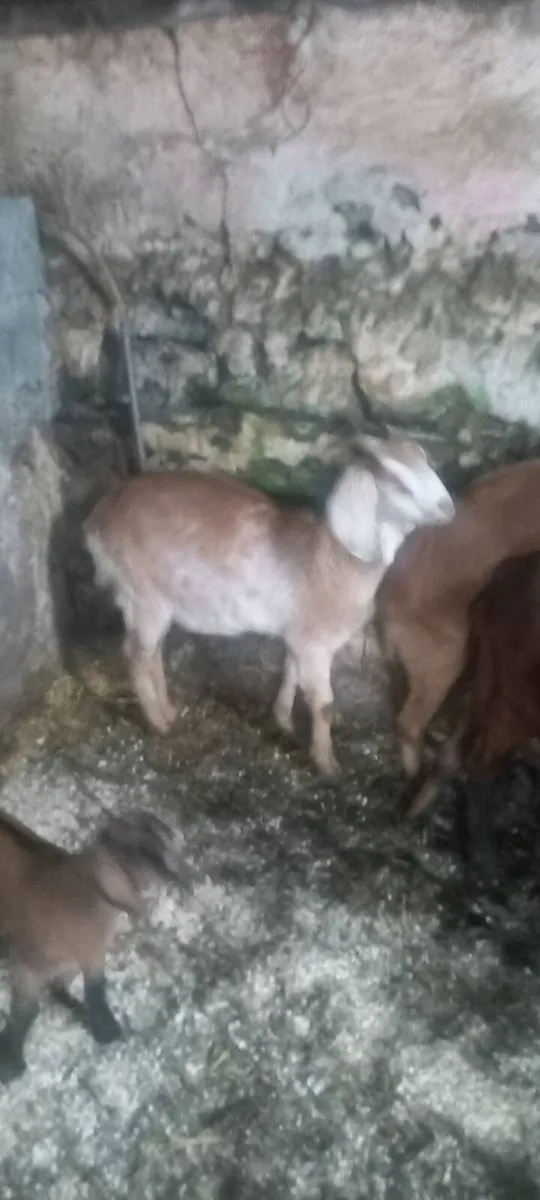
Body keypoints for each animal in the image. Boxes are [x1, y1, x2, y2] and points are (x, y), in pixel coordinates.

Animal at [0, 807, 195, 1084]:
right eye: (145, 850)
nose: (187, 880)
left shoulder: (83, 957)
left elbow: (81, 988)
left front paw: (89, 1017)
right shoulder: (30, 963)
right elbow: (26, 1010)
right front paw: (10, 1061)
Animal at [83, 435, 454, 776]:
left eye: (427, 463)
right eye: (398, 483)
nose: (448, 508)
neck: (334, 557)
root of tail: (98, 519)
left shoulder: (297, 635)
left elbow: (290, 672)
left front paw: (283, 720)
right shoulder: (315, 642)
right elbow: (324, 706)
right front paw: (327, 764)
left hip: (152, 600)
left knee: (152, 652)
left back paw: (169, 710)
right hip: (144, 595)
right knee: (136, 655)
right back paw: (159, 722)